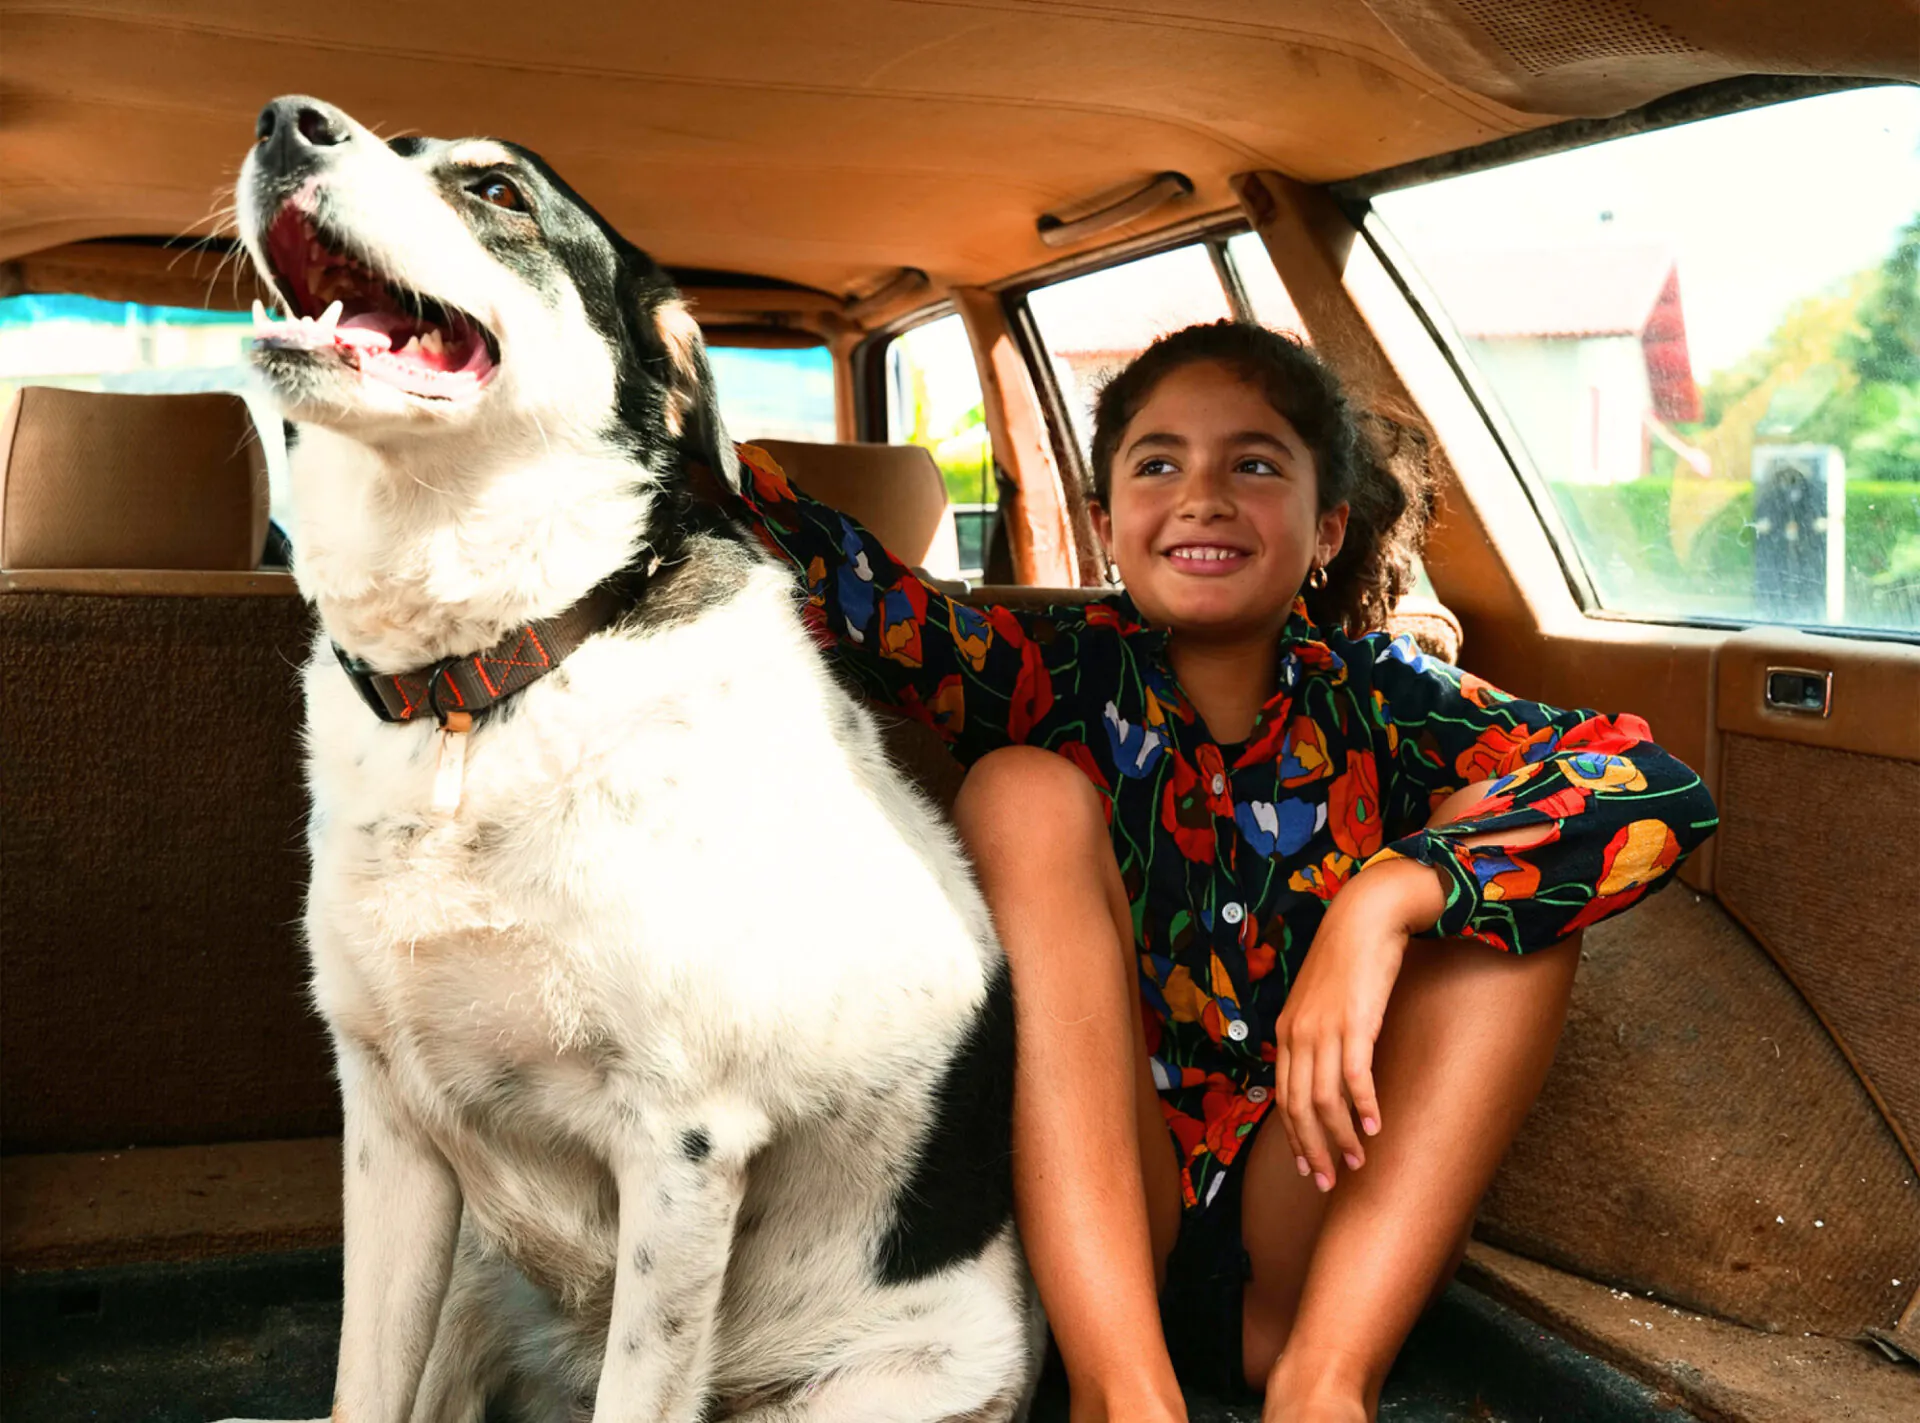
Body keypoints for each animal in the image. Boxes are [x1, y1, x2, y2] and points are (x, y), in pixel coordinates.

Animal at [232, 96, 1044, 1421]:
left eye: (497, 190)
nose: (285, 121)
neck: (478, 691)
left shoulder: (682, 1148)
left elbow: (642, 1378)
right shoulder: (391, 1129)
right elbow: (362, 1383)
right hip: (473, 1275)